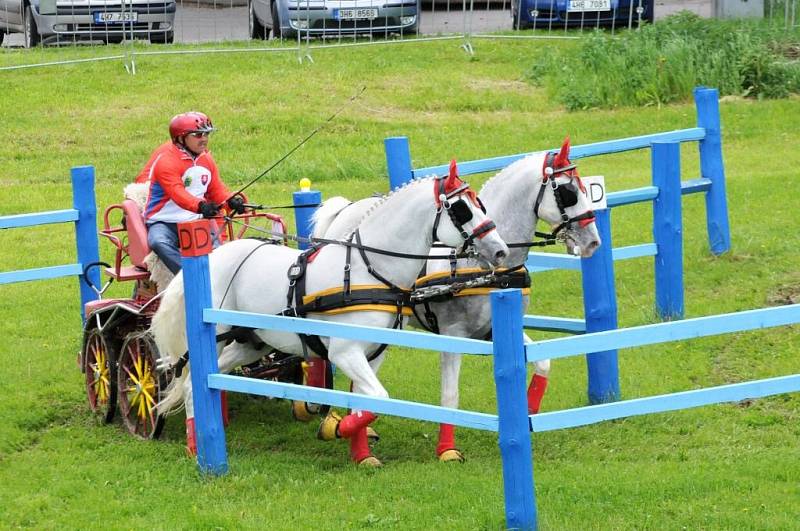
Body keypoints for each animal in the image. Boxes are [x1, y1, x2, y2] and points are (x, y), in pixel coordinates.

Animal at [152, 170, 510, 466]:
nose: (500, 250)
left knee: (203, 382)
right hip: (214, 337)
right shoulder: (344, 352)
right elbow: (377, 398)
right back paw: (196, 448)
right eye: (462, 208)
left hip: (250, 343)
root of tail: (214, 254)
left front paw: (361, 454)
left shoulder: (373, 354)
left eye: (479, 204)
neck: (368, 272)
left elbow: (367, 404)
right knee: (191, 384)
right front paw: (334, 429)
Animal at [312, 138, 600, 462]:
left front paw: (528, 408)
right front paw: (447, 449)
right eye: (569, 191)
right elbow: (450, 395)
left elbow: (543, 362)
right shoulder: (453, 333)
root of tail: (348, 208)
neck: (478, 266)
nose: (593, 241)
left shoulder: (493, 331)